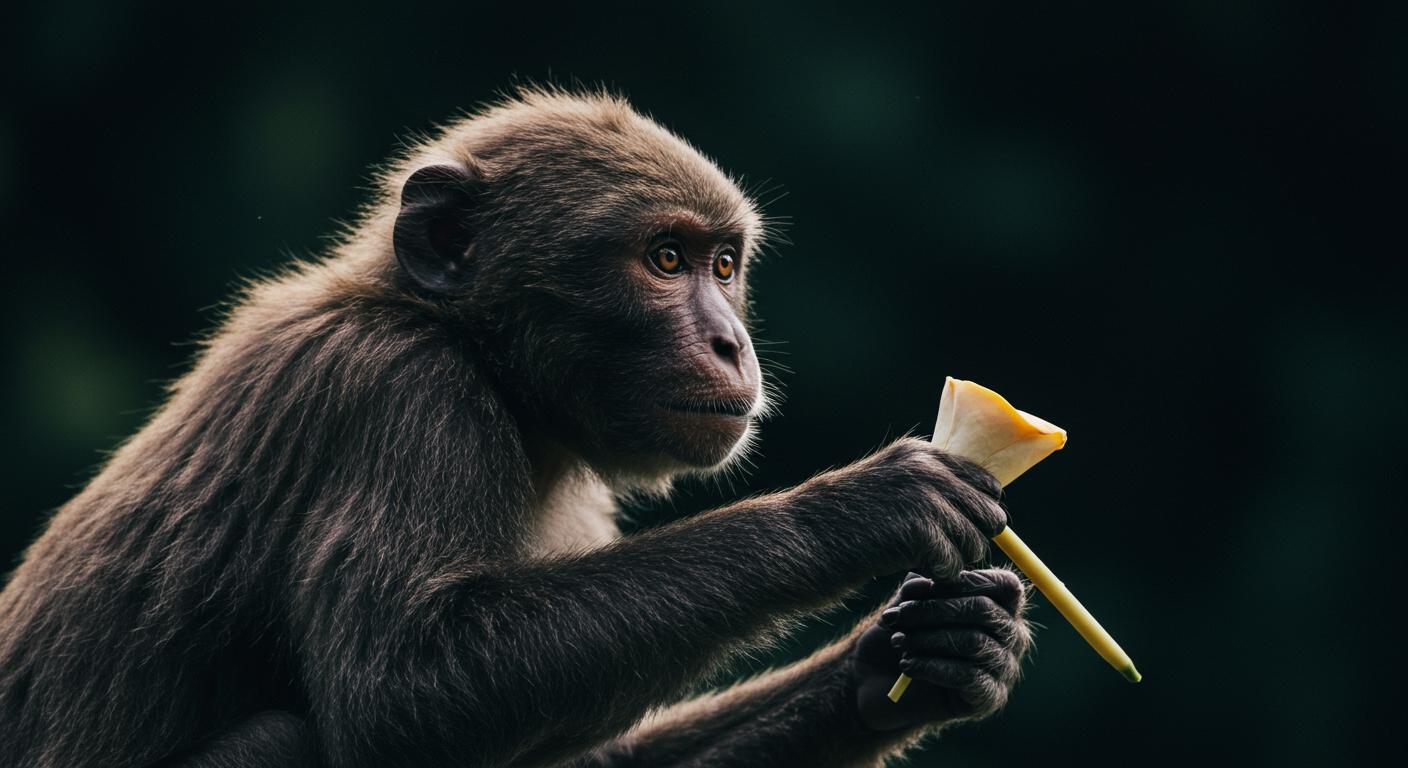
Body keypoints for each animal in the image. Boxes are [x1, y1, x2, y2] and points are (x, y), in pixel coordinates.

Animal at [0, 87, 1032, 768]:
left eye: (724, 265)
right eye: (665, 259)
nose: (730, 341)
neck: (483, 360)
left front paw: (912, 662)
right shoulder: (402, 397)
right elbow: (403, 691)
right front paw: (855, 510)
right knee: (286, 739)